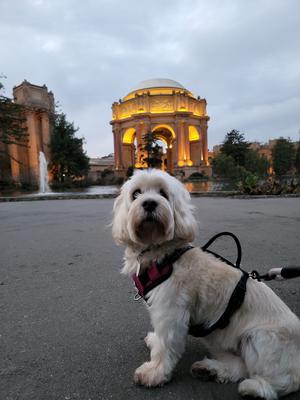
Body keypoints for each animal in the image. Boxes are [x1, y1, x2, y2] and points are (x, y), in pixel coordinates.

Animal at [112, 170, 300, 400]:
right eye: (136, 194)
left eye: (163, 193)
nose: (149, 203)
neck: (162, 254)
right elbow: (160, 339)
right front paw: (153, 341)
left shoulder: (171, 310)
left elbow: (166, 345)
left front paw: (154, 373)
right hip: (217, 337)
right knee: (240, 366)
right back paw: (210, 370)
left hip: (260, 338)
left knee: (285, 381)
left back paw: (254, 388)